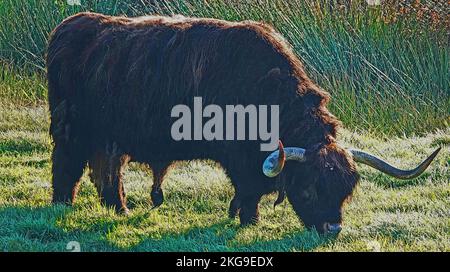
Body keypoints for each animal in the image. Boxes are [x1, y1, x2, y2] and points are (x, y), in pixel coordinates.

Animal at [45, 12, 440, 234]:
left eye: (345, 190)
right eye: (310, 188)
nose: (332, 229)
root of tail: (68, 26)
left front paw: (239, 213)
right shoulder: (239, 156)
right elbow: (249, 189)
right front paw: (249, 219)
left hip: (108, 137)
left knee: (107, 171)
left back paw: (120, 208)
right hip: (70, 130)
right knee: (68, 167)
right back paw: (63, 205)